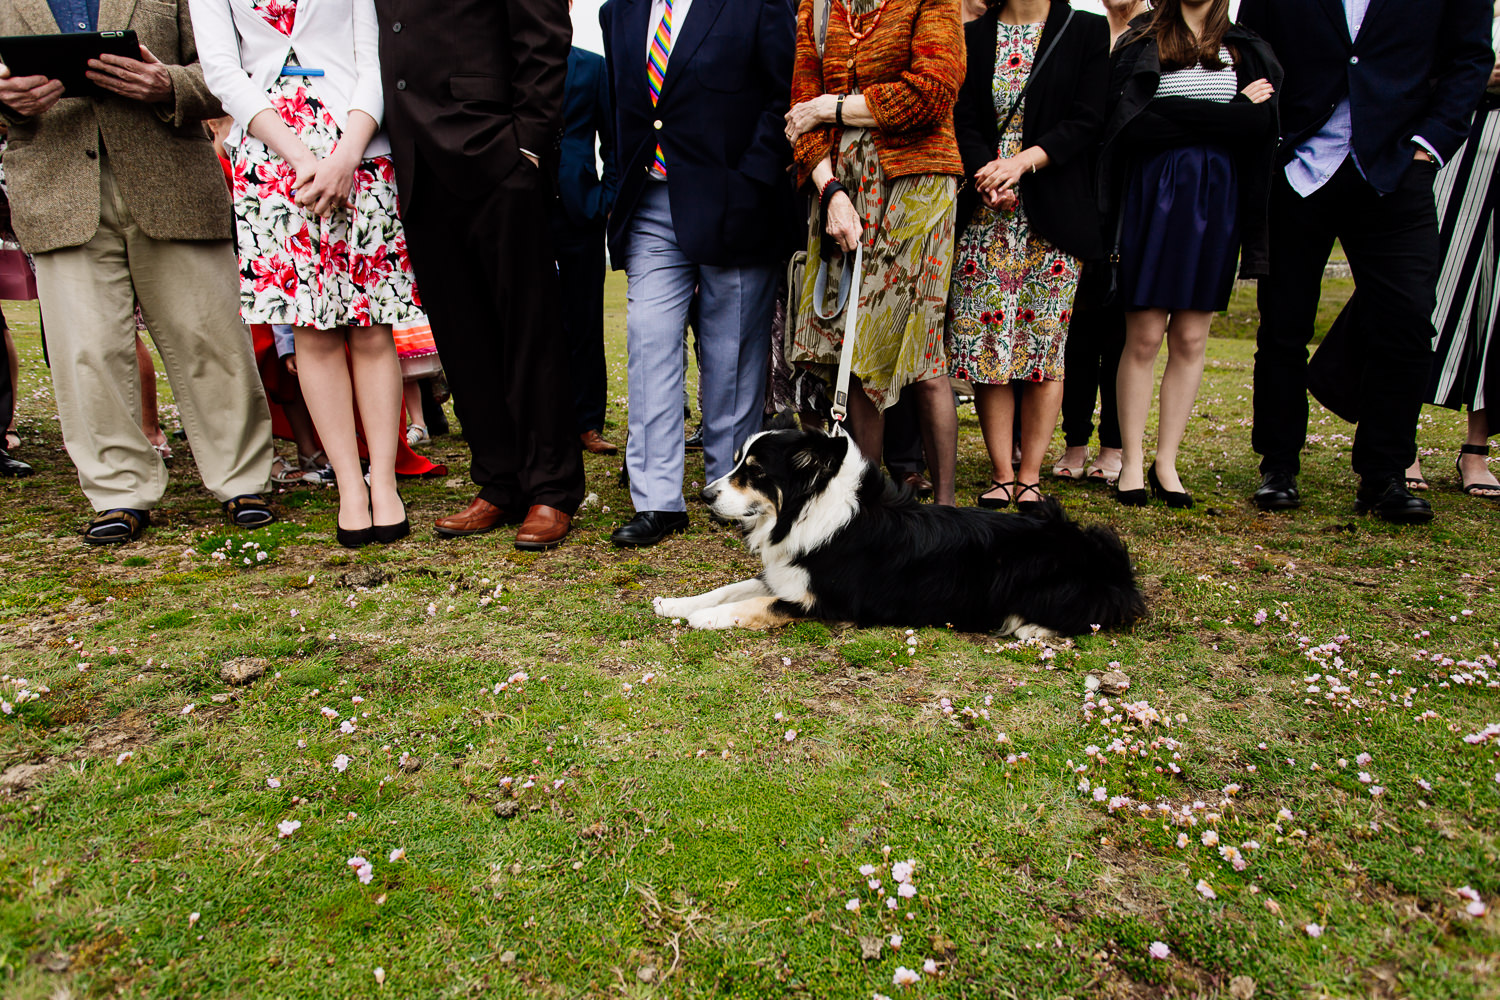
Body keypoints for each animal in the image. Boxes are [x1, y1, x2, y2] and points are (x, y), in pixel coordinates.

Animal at [651, 425, 1140, 638]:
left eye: (754, 472)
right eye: (737, 464)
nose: (704, 495)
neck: (810, 509)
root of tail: (1103, 558)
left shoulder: (829, 599)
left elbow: (759, 604)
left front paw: (704, 618)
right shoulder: (787, 571)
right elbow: (731, 589)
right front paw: (675, 603)